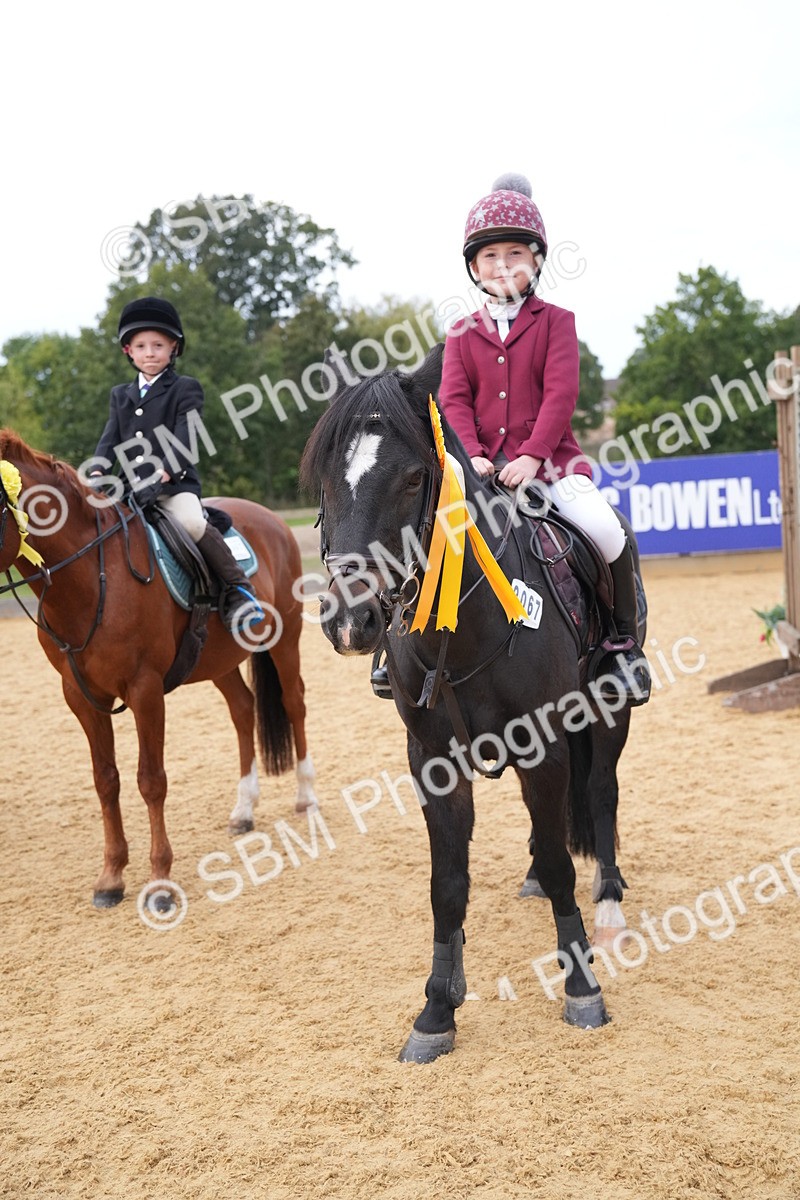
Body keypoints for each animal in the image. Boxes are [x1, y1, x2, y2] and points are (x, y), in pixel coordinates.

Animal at [0, 430, 317, 909]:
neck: (93, 576)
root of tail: (271, 519)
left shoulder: (144, 690)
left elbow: (150, 781)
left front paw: (160, 883)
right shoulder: (80, 697)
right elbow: (105, 781)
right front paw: (111, 878)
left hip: (286, 637)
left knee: (293, 702)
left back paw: (305, 797)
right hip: (218, 659)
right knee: (243, 709)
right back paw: (243, 810)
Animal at [300, 344, 642, 1063]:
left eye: (412, 479)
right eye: (325, 482)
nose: (350, 622)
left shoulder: (544, 746)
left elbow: (563, 859)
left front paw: (581, 987)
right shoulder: (433, 759)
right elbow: (448, 885)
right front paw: (437, 1008)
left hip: (609, 709)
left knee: (601, 794)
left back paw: (608, 901)